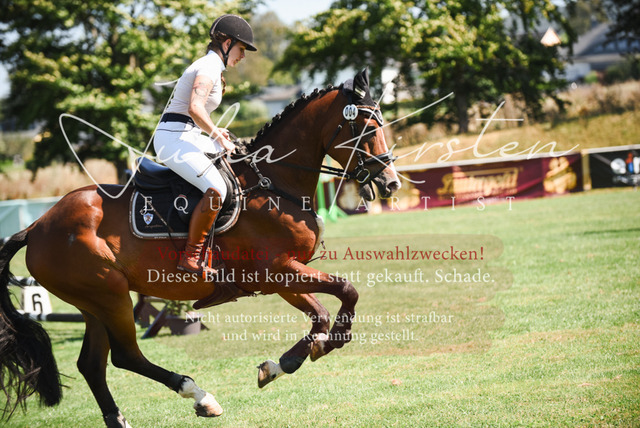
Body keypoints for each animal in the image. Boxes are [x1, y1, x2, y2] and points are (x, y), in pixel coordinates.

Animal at [0, 69, 400, 427]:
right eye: (367, 129)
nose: (391, 183)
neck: (274, 184)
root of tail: (37, 226)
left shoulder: (283, 276)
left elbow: (320, 314)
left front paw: (282, 364)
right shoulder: (278, 270)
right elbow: (345, 291)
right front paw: (328, 343)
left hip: (94, 303)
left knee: (92, 364)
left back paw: (120, 419)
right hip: (110, 295)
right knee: (126, 356)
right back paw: (199, 395)